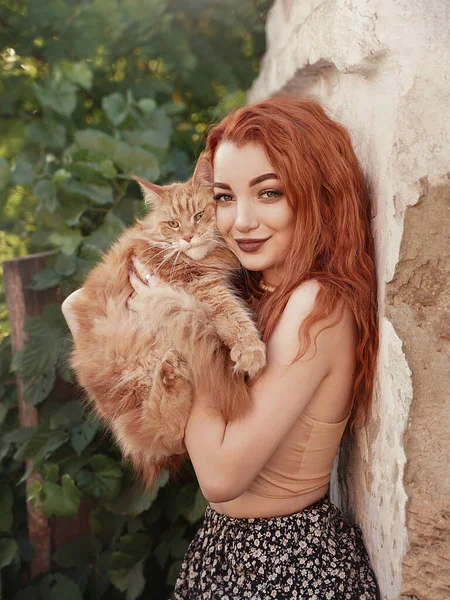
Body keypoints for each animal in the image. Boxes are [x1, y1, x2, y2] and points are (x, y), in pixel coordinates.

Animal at [68, 158, 266, 488]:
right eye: (173, 224)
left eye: (199, 215)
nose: (188, 237)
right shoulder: (201, 288)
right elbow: (233, 317)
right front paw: (251, 351)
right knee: (162, 433)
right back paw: (169, 377)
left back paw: (171, 377)